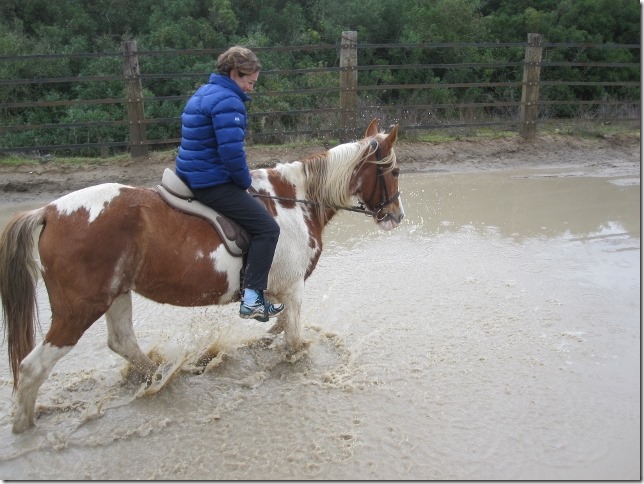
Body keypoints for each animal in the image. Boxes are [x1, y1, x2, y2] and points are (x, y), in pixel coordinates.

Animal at [0, 119, 402, 432]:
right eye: (395, 171)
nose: (397, 216)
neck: (293, 201)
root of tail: (49, 211)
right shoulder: (293, 289)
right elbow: (294, 341)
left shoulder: (283, 295)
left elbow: (276, 330)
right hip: (79, 309)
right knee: (32, 368)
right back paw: (25, 427)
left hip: (116, 294)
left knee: (122, 342)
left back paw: (161, 376)